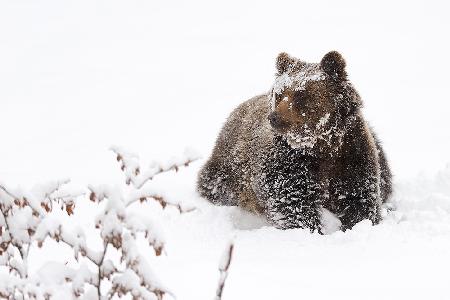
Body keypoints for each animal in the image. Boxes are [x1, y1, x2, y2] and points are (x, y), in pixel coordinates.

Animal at [197, 51, 390, 232]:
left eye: (301, 95)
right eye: (279, 94)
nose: (274, 117)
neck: (321, 145)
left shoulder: (351, 154)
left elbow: (359, 197)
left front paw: (358, 223)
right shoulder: (289, 163)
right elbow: (292, 203)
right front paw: (311, 228)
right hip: (227, 171)